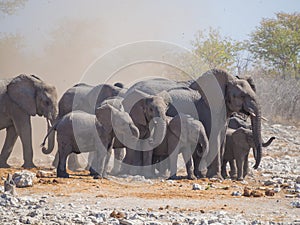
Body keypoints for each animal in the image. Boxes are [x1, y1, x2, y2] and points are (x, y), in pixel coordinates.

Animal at [122, 69, 262, 178]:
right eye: (242, 96)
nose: (255, 167)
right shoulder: (209, 111)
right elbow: (213, 137)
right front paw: (214, 177)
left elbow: (221, 140)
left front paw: (206, 175)